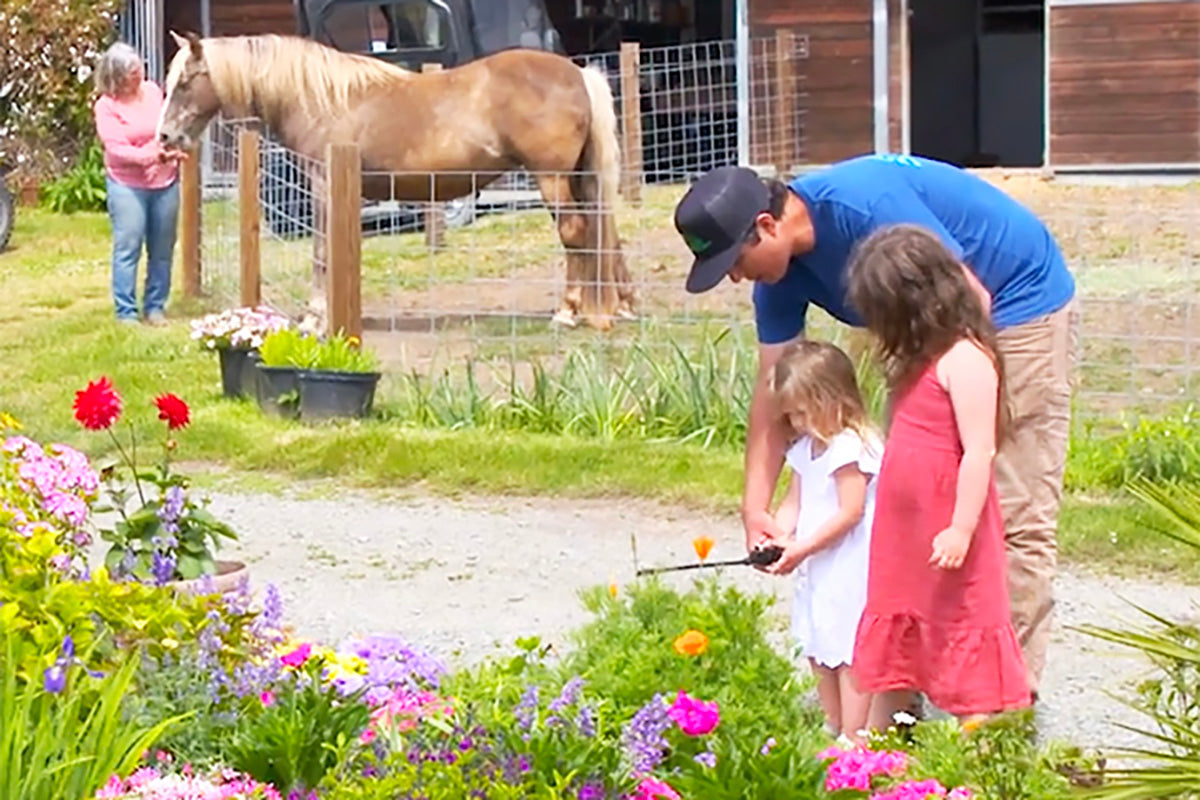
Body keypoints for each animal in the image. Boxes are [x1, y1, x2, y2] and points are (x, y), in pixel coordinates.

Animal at [159, 31, 638, 331]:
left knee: (575, 233)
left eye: (185, 81)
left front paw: (315, 318)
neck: (322, 98)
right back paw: (621, 305)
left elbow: (321, 253)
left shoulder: (323, 186)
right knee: (604, 234)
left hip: (552, 178)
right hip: (579, 178)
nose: (165, 138)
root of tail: (578, 73)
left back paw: (568, 311)